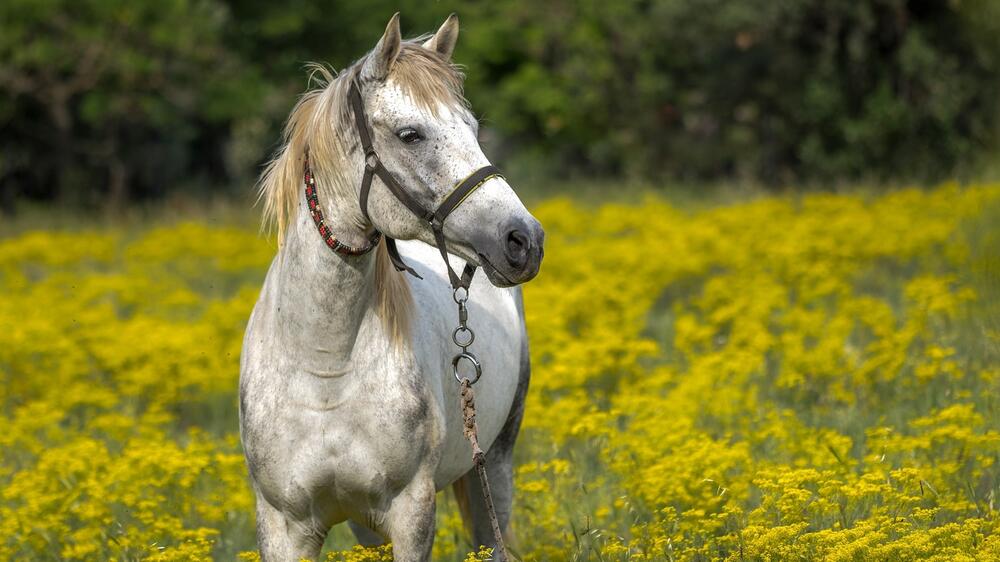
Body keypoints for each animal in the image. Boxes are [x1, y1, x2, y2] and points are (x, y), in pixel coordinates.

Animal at [238, 13, 544, 560]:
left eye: (472, 129)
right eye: (410, 134)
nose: (524, 240)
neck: (325, 367)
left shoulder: (411, 513)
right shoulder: (282, 525)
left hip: (495, 465)